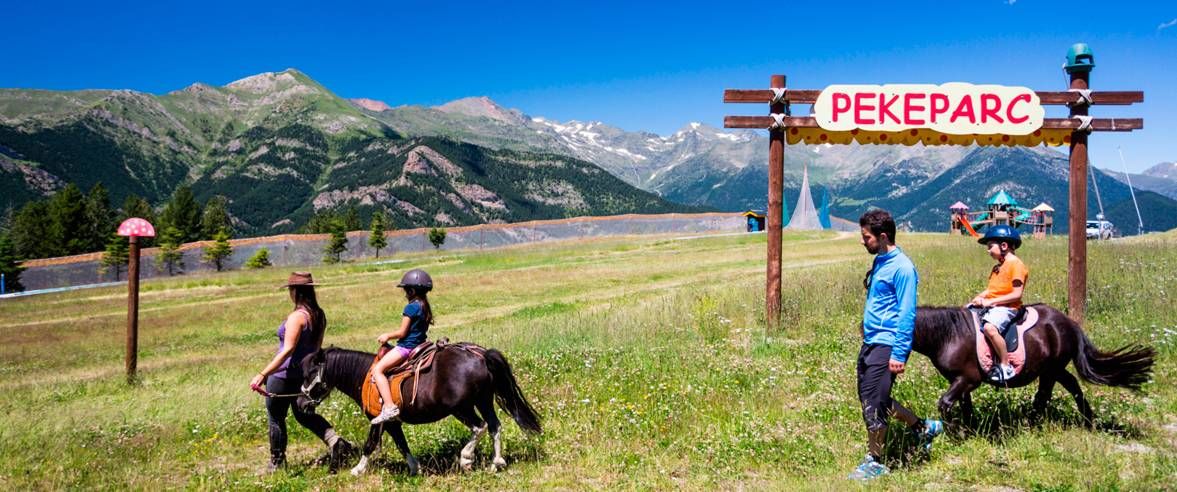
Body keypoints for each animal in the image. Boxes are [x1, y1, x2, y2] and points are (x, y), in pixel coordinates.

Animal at [296, 344, 542, 476]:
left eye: (310, 373)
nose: (300, 404)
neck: (365, 376)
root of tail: (480, 355)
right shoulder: (392, 423)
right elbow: (402, 444)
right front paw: (415, 469)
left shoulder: (378, 419)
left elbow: (370, 444)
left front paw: (357, 469)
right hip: (483, 401)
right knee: (494, 426)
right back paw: (496, 462)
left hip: (461, 407)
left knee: (479, 427)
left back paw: (466, 458)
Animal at [912, 304, 1155, 429]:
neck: (949, 335)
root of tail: (1069, 322)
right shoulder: (960, 381)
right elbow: (965, 406)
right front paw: (969, 429)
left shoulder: (969, 379)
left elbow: (945, 403)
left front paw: (955, 432)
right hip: (1054, 369)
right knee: (1072, 386)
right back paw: (1088, 420)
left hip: (1051, 369)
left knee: (1044, 395)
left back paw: (1030, 423)